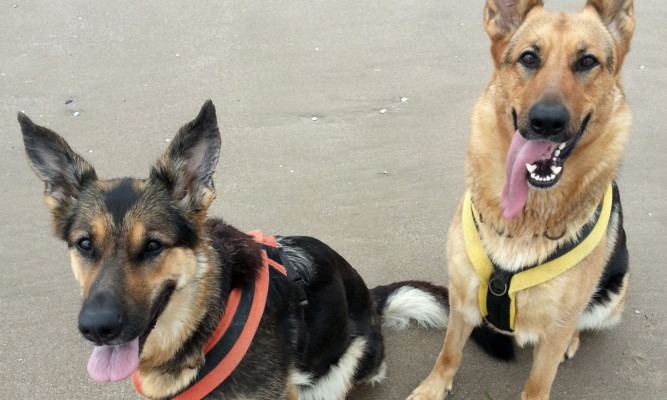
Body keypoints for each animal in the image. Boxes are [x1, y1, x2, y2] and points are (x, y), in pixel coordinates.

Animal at [19, 101, 454, 400]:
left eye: (153, 245)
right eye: (85, 244)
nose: (97, 328)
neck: (203, 323)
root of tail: (369, 298)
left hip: (338, 369)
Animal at [408, 0, 636, 400]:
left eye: (587, 62)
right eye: (529, 57)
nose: (547, 121)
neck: (527, 219)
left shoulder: (554, 332)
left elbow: (538, 384)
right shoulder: (461, 299)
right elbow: (449, 353)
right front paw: (432, 388)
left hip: (611, 296)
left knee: (580, 320)